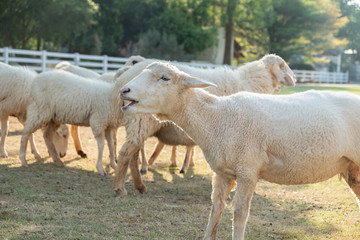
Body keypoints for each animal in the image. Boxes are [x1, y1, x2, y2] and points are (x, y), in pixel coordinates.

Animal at [112, 54, 296, 195]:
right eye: (283, 66)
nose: (294, 79)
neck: (252, 82)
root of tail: (122, 79)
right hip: (140, 120)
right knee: (126, 153)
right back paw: (120, 188)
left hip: (137, 122)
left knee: (133, 153)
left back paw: (140, 185)